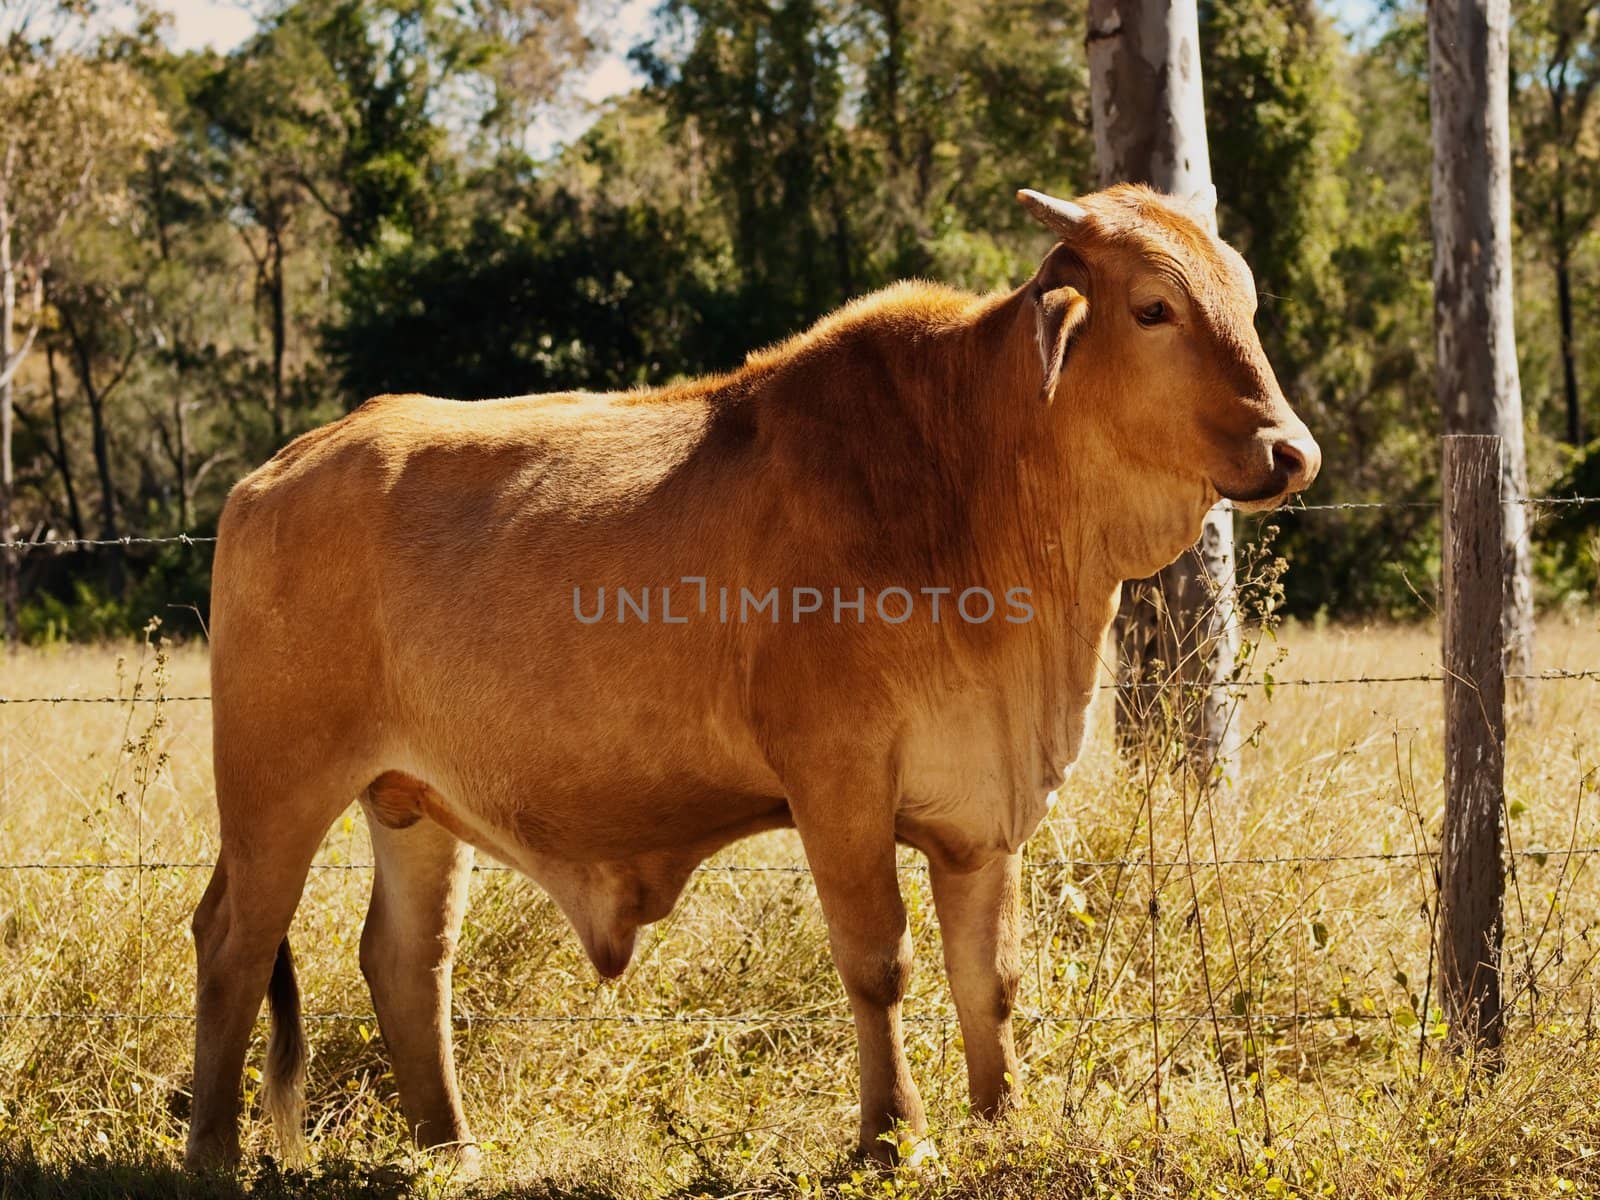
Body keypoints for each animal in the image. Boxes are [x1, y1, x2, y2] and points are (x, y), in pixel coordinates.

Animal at [187, 188, 1318, 1177]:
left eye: (1245, 300)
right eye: (1154, 306)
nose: (1290, 452)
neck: (974, 480)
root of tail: (279, 470)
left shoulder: (980, 809)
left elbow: (986, 979)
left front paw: (1004, 1124)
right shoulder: (838, 780)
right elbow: (879, 962)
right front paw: (892, 1137)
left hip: (411, 802)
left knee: (407, 961)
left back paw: (450, 1148)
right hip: (277, 783)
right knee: (234, 941)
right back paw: (213, 1151)